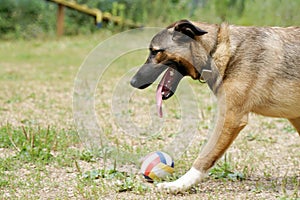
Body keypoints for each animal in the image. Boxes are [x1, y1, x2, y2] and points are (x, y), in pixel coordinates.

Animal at [130, 19, 298, 192]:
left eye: (154, 52)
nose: (133, 82)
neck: (217, 50)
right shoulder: (295, 117)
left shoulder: (231, 118)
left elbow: (205, 157)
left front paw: (179, 184)